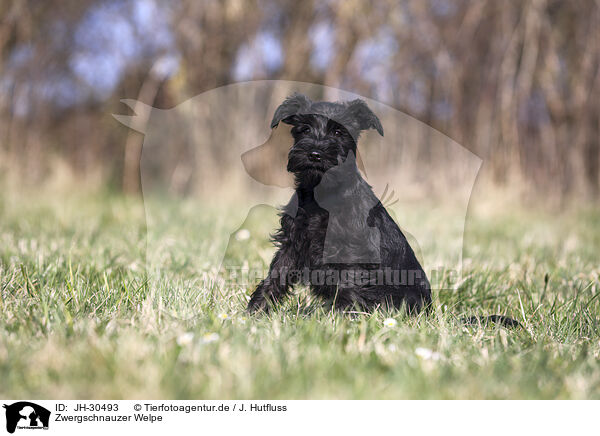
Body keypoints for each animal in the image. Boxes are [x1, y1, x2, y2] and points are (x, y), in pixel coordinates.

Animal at [247, 94, 432, 314]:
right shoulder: (291, 244)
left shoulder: (352, 252)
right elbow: (275, 276)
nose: (315, 154)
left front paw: (341, 317)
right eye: (305, 128)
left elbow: (347, 285)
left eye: (338, 132)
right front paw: (255, 311)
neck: (321, 195)